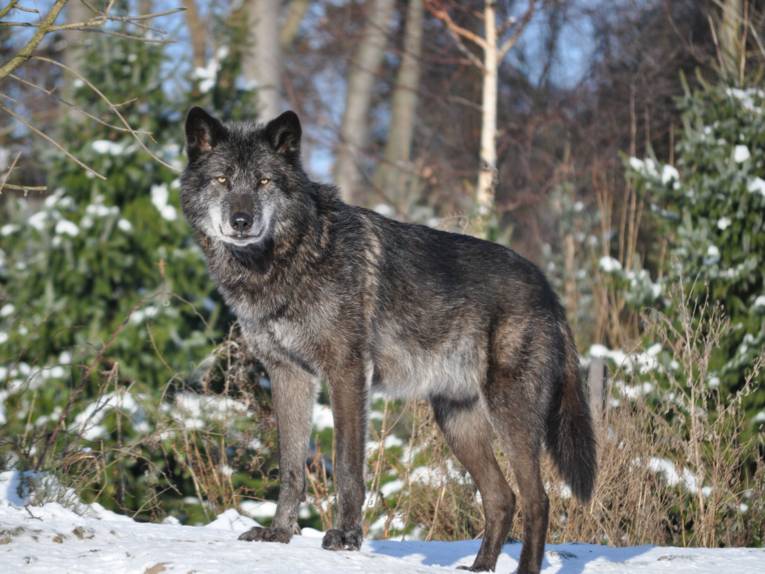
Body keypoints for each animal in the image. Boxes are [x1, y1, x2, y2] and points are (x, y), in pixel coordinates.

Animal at [180, 107, 597, 574]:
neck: (289, 256)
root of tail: (548, 289)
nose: (241, 221)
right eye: (222, 180)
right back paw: (478, 567)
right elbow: (290, 466)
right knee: (501, 498)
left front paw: (345, 536)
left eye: (265, 182)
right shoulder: (289, 375)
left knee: (537, 500)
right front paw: (279, 534)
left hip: (511, 414)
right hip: (458, 422)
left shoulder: (346, 372)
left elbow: (346, 464)